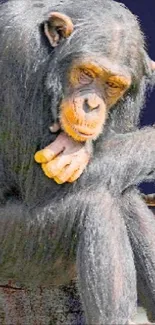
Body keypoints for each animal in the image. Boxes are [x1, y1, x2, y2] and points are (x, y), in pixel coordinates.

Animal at [0, 0, 155, 322]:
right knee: (96, 206)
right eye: (86, 72)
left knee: (123, 195)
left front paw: (77, 150)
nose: (91, 104)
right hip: (17, 251)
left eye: (112, 85)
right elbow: (39, 185)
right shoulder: (17, 53)